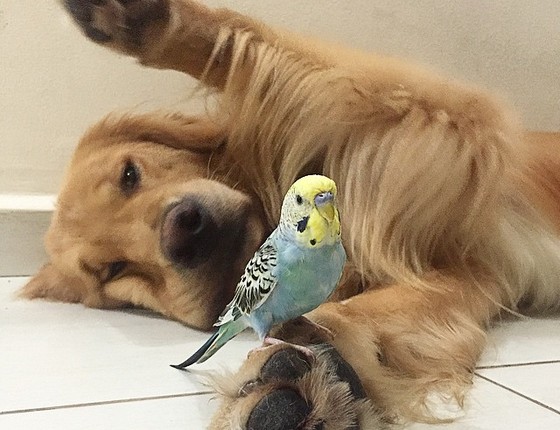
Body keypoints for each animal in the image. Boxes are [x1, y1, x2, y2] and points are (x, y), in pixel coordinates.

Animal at [20, 0, 560, 428]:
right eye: (113, 271)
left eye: (129, 175)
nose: (183, 232)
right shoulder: (469, 275)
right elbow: (365, 312)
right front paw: (308, 372)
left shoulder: (446, 127)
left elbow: (286, 61)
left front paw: (143, 19)